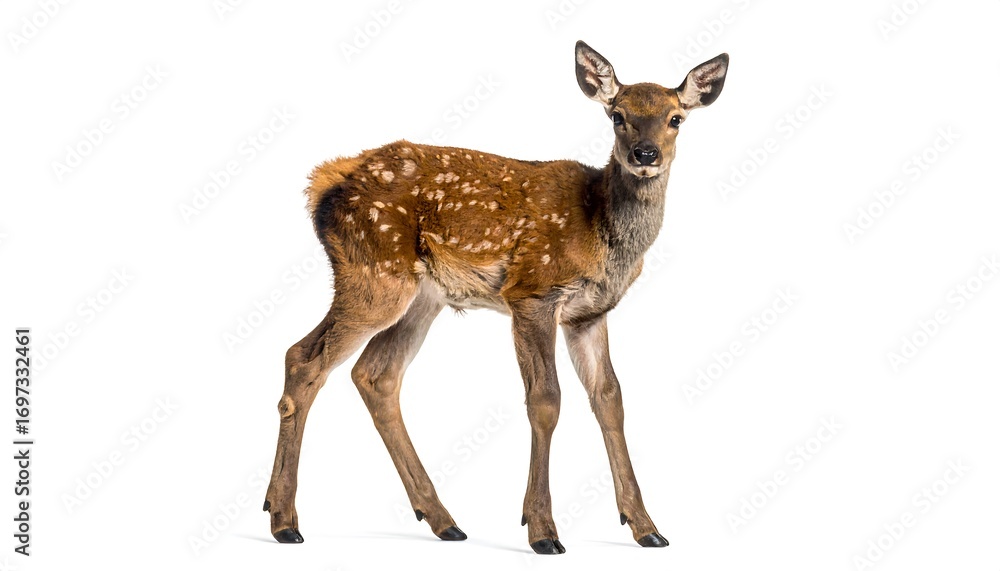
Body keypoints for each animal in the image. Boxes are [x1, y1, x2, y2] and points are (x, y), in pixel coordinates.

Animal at [263, 40, 728, 554]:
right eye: (617, 116)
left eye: (675, 118)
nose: (645, 154)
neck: (601, 230)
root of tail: (325, 182)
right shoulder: (532, 292)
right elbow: (545, 400)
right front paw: (542, 530)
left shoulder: (588, 314)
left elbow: (610, 398)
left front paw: (646, 526)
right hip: (374, 272)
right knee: (303, 358)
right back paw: (284, 520)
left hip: (422, 295)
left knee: (375, 375)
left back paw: (443, 519)